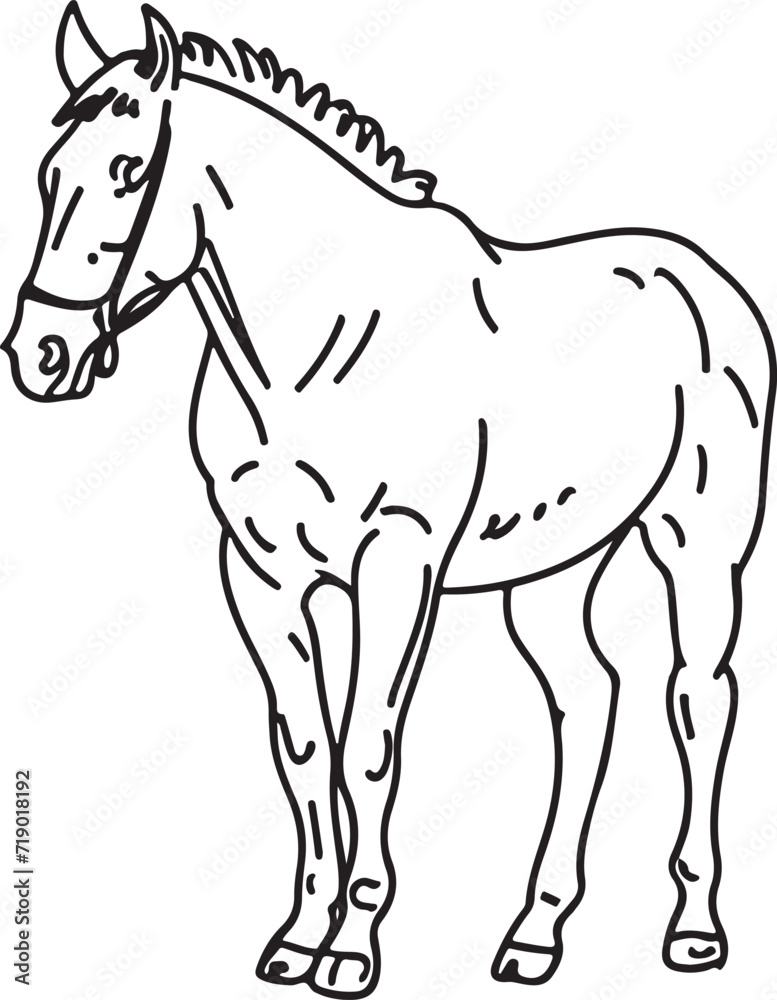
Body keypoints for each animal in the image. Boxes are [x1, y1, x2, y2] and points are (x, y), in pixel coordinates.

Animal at [6, 4, 774, 996]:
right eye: (48, 174)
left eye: (129, 173)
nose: (41, 355)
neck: (311, 347)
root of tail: (700, 277)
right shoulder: (259, 574)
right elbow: (303, 748)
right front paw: (298, 937)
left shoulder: (397, 563)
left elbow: (369, 746)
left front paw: (351, 950)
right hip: (551, 568)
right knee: (584, 700)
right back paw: (535, 934)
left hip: (698, 544)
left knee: (698, 698)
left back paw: (693, 929)